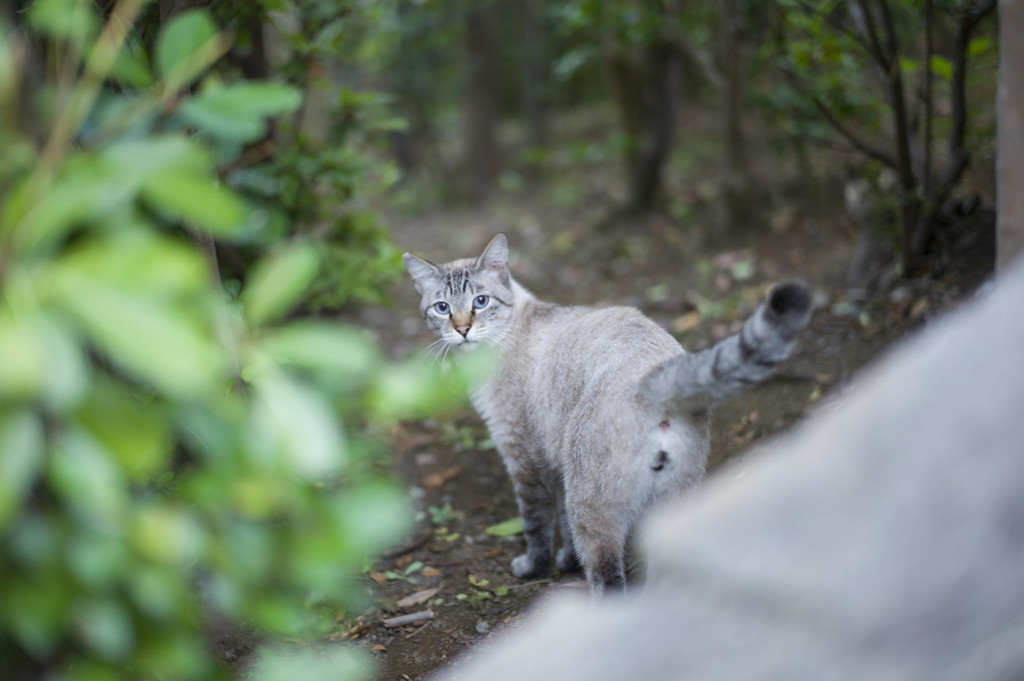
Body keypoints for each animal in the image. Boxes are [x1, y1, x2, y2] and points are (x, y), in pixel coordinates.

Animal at [403, 233, 811, 593]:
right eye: (442, 308)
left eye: (481, 301)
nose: (463, 330)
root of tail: (651, 378)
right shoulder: (556, 465)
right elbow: (561, 525)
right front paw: (566, 562)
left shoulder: (525, 459)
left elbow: (536, 525)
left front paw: (533, 568)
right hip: (670, 502)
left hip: (591, 506)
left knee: (609, 579)